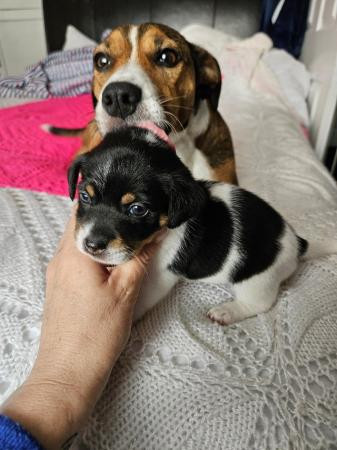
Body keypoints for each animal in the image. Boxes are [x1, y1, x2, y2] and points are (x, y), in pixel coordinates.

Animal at [67, 125, 334, 324]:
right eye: (85, 196)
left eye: (138, 209)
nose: (92, 245)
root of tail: (296, 242)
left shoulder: (159, 276)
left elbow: (140, 302)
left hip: (258, 279)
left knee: (260, 303)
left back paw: (227, 312)